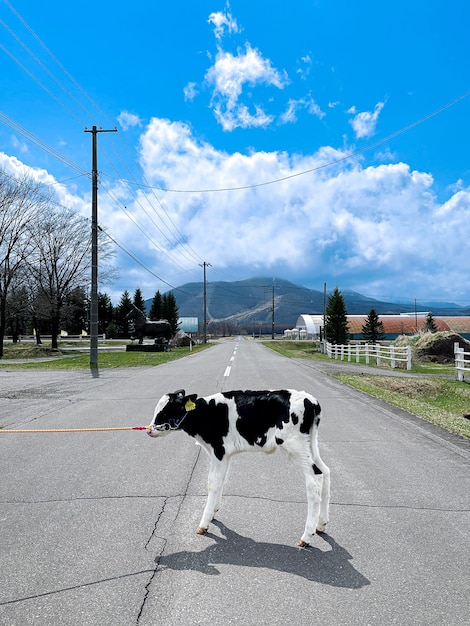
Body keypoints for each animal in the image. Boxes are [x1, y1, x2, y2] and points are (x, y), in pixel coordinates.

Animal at [148, 388, 330, 544]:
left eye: (166, 411)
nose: (149, 430)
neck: (206, 413)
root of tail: (310, 400)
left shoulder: (218, 451)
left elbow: (213, 483)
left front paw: (204, 523)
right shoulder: (224, 455)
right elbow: (221, 481)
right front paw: (214, 511)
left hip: (294, 446)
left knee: (314, 479)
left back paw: (306, 536)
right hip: (310, 445)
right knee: (325, 471)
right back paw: (321, 524)